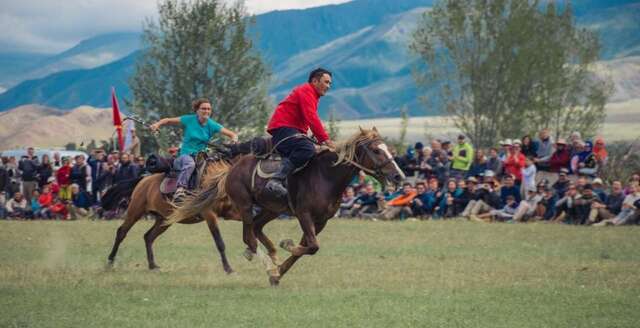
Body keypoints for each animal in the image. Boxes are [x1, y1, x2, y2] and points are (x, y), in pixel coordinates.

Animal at [168, 127, 402, 284]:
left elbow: (307, 248)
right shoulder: (304, 214)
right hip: (245, 206)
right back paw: (266, 261)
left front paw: (279, 271)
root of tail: (231, 170)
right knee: (250, 238)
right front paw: (284, 248)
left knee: (256, 229)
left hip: (271, 209)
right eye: (377, 150)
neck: (326, 175)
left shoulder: (321, 221)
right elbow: (311, 246)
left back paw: (270, 255)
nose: (398, 176)